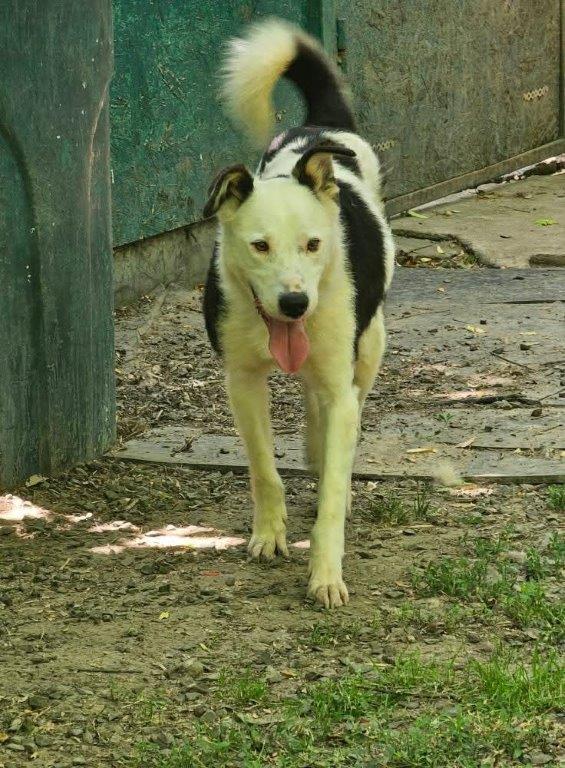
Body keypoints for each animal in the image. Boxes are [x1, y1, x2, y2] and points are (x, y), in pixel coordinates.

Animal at [202, 18, 394, 608]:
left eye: (313, 244)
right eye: (260, 246)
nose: (294, 303)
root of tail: (320, 128)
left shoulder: (339, 377)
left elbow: (332, 488)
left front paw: (326, 572)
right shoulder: (242, 381)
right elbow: (264, 467)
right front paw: (269, 533)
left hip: (368, 347)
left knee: (342, 402)